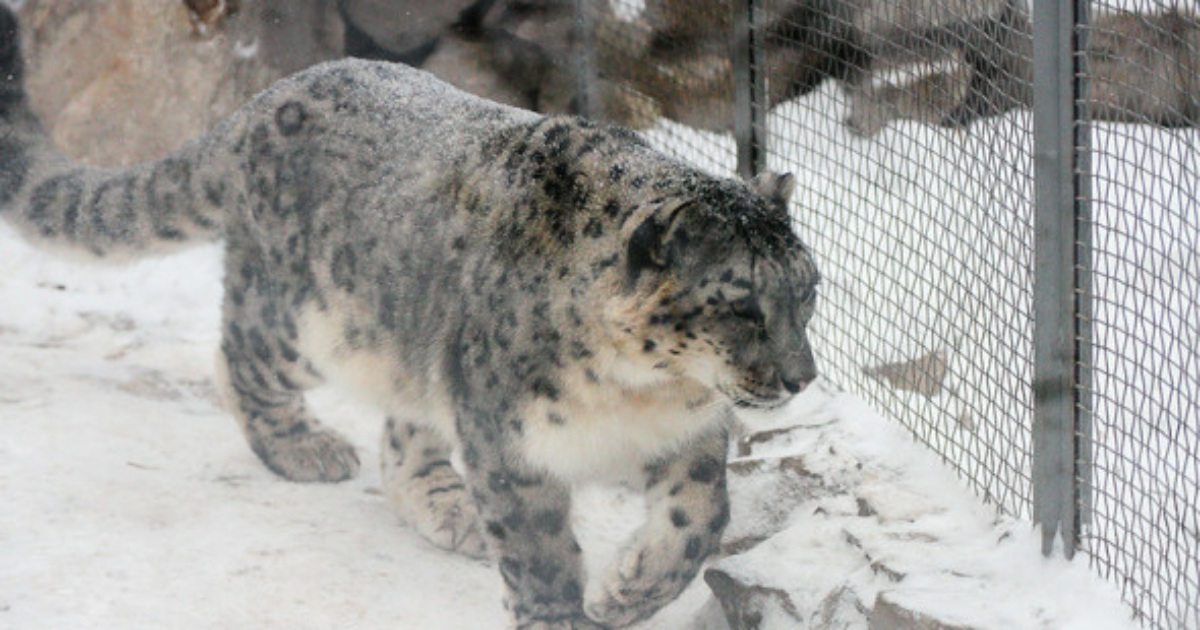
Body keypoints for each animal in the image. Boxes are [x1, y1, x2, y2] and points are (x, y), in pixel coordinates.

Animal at [0, 6, 820, 628]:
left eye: (808, 291)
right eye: (741, 305)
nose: (803, 378)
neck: (642, 392)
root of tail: (272, 96)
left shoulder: (689, 435)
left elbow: (700, 521)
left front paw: (627, 592)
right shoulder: (509, 443)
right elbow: (540, 550)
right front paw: (563, 612)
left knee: (405, 430)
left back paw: (444, 505)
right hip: (297, 320)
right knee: (239, 356)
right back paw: (303, 448)